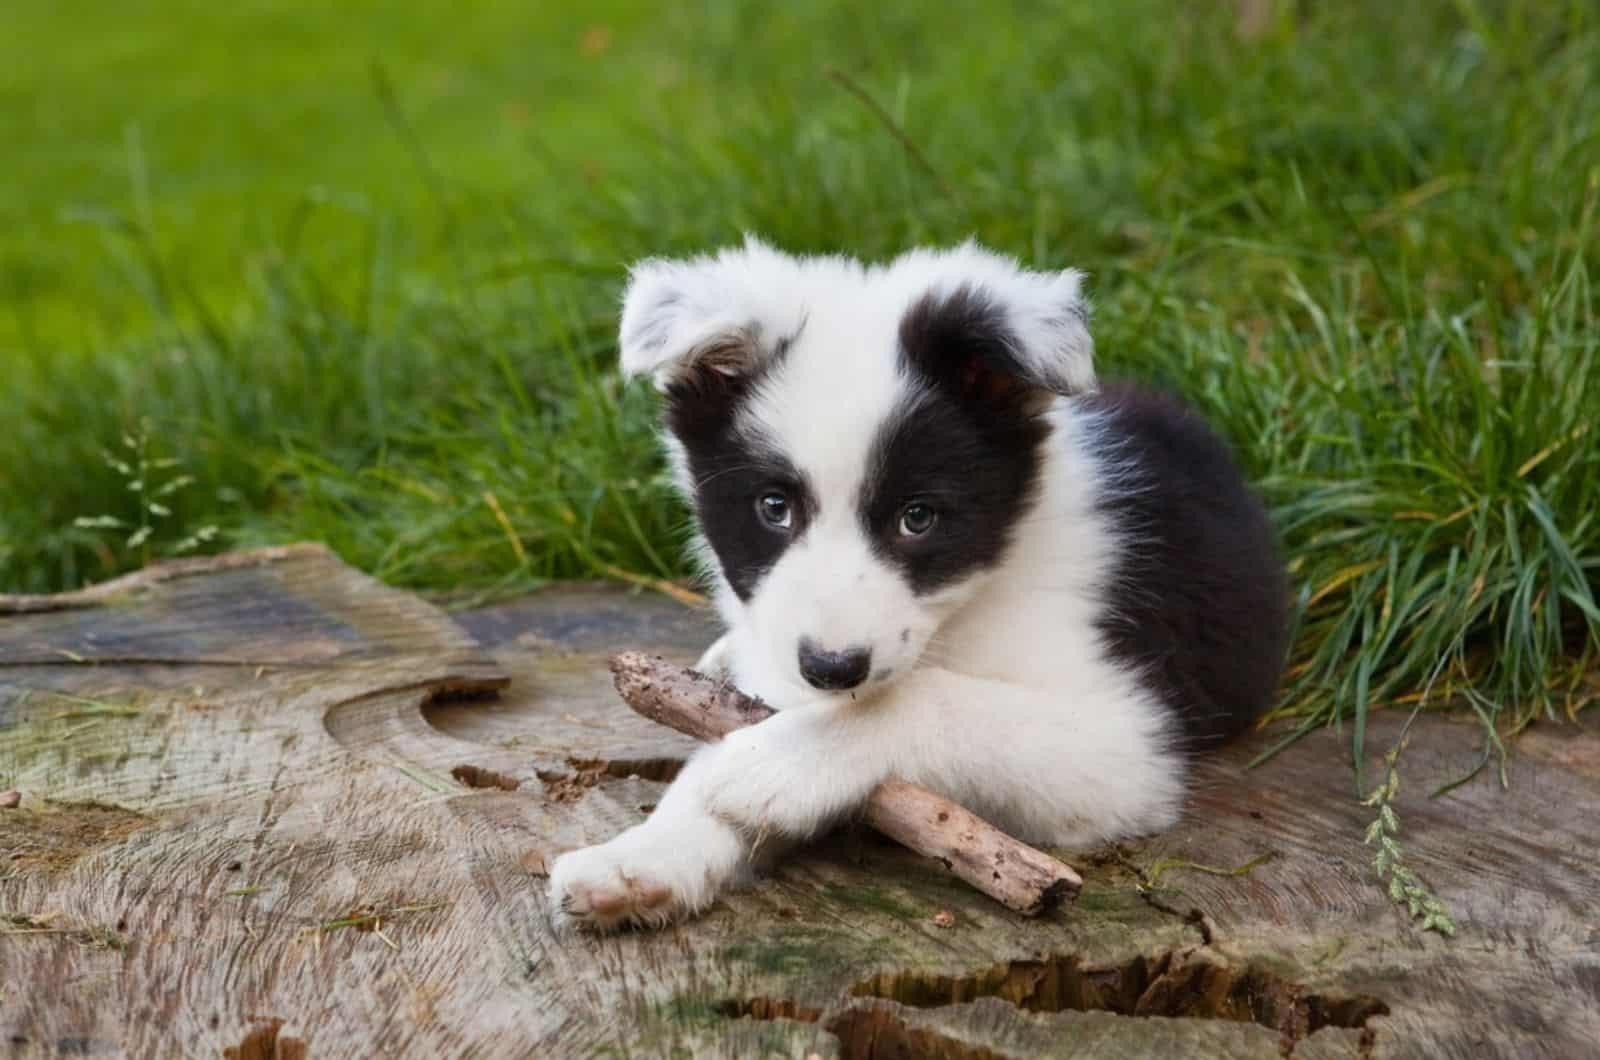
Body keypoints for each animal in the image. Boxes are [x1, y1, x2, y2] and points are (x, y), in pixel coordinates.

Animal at [550, 238, 1286, 928]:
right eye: (773, 507)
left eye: (918, 518)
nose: (832, 668)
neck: (967, 604)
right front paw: (640, 856)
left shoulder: (1127, 740)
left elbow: (927, 697)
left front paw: (774, 766)